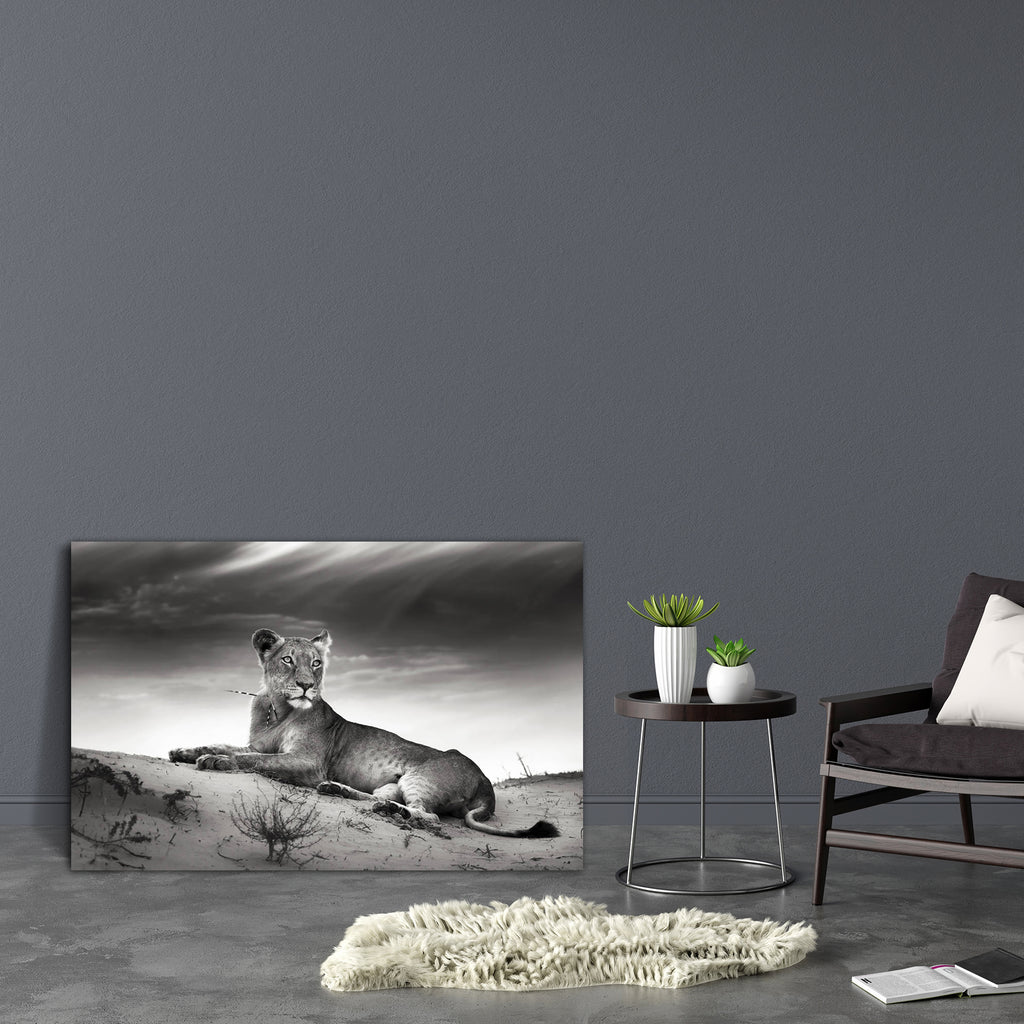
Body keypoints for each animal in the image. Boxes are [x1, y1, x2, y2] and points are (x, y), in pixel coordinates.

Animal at [169, 628, 559, 838]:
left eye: (316, 663)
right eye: (287, 660)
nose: (307, 686)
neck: (277, 708)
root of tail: (486, 783)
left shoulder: (308, 762)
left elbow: (254, 760)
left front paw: (216, 761)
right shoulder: (259, 743)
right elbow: (232, 746)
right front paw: (185, 752)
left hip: (420, 778)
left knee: (427, 815)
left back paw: (389, 812)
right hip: (392, 783)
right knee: (378, 798)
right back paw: (340, 791)